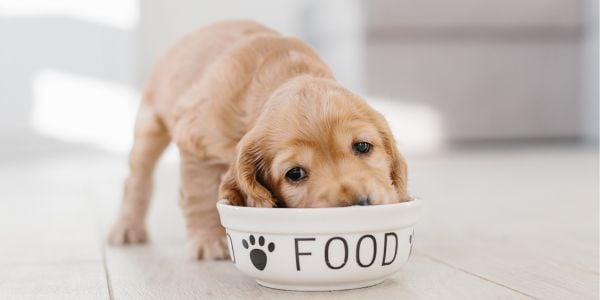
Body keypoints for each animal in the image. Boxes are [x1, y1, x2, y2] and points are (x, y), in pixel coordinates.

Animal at [108, 20, 410, 260]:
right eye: (295, 174)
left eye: (363, 146)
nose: (359, 203)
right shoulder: (196, 142)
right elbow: (200, 193)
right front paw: (208, 241)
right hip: (149, 126)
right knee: (137, 179)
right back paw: (128, 227)